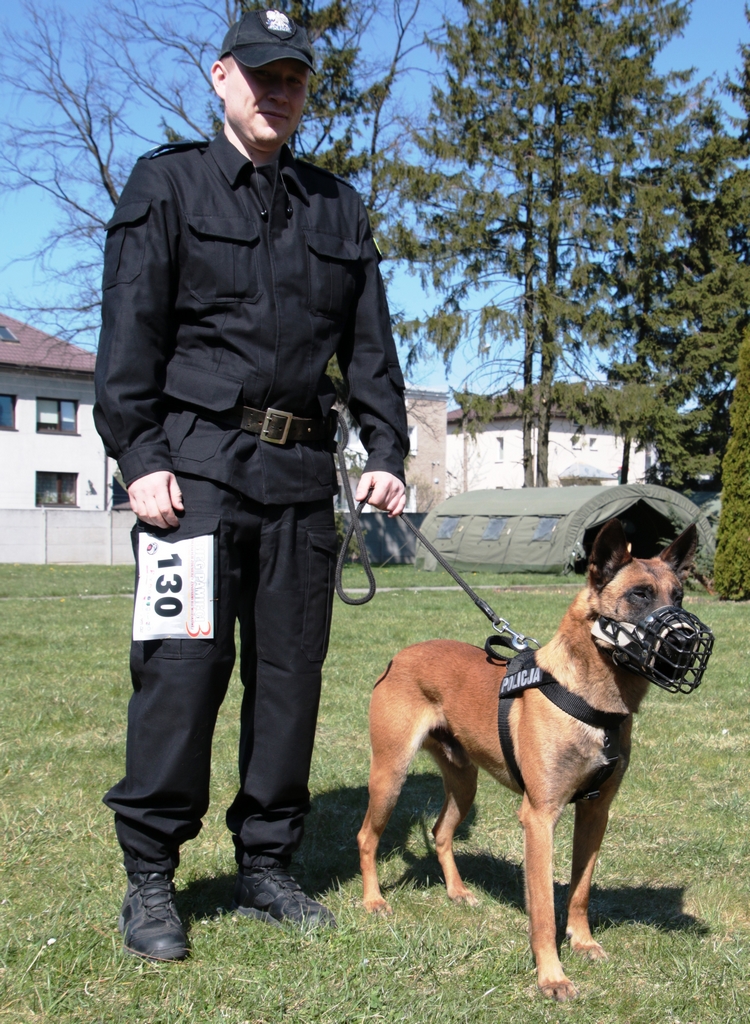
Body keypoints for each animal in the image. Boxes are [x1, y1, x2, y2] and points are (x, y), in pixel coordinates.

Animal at [357, 518, 701, 1001]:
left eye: (679, 596)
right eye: (640, 594)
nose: (687, 638)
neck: (587, 697)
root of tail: (401, 654)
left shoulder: (596, 813)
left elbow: (579, 891)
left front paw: (583, 941)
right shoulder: (540, 818)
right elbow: (542, 907)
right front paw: (551, 976)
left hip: (464, 782)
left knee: (441, 832)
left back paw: (457, 892)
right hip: (390, 775)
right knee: (366, 838)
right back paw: (373, 900)